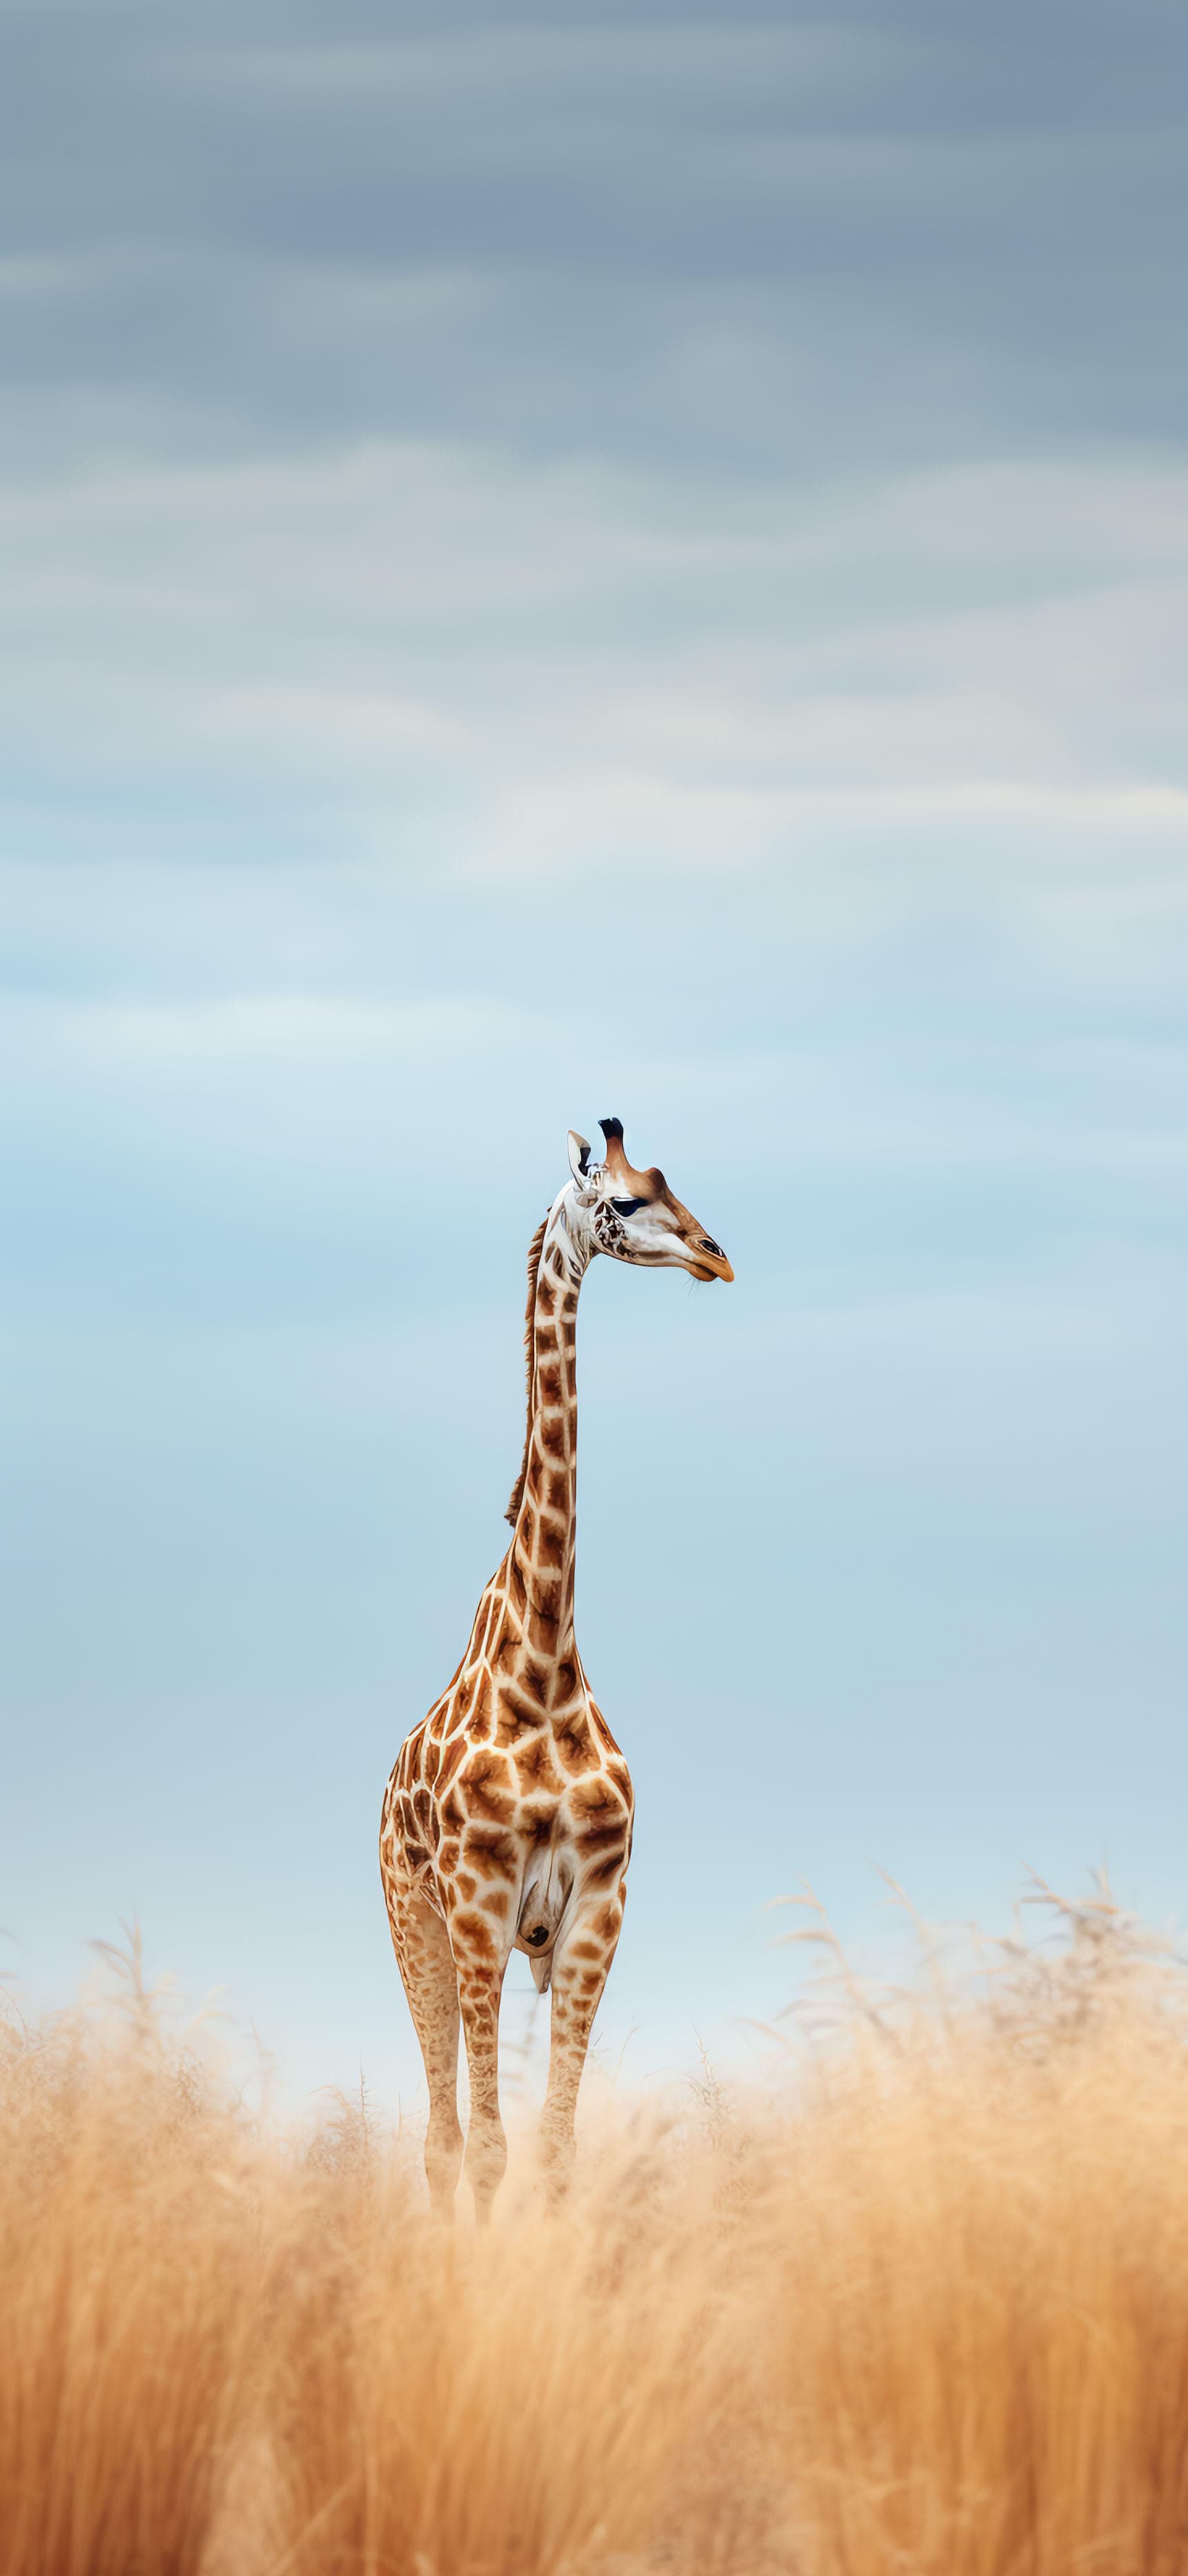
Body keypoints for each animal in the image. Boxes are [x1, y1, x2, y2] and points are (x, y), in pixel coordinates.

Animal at [379, 1116, 734, 2219]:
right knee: (440, 2137)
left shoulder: (596, 1907)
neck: (542, 1666)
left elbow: (557, 2146)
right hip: (416, 1928)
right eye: (622, 1201)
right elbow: (490, 2148)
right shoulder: (478, 1905)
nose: (715, 1255)